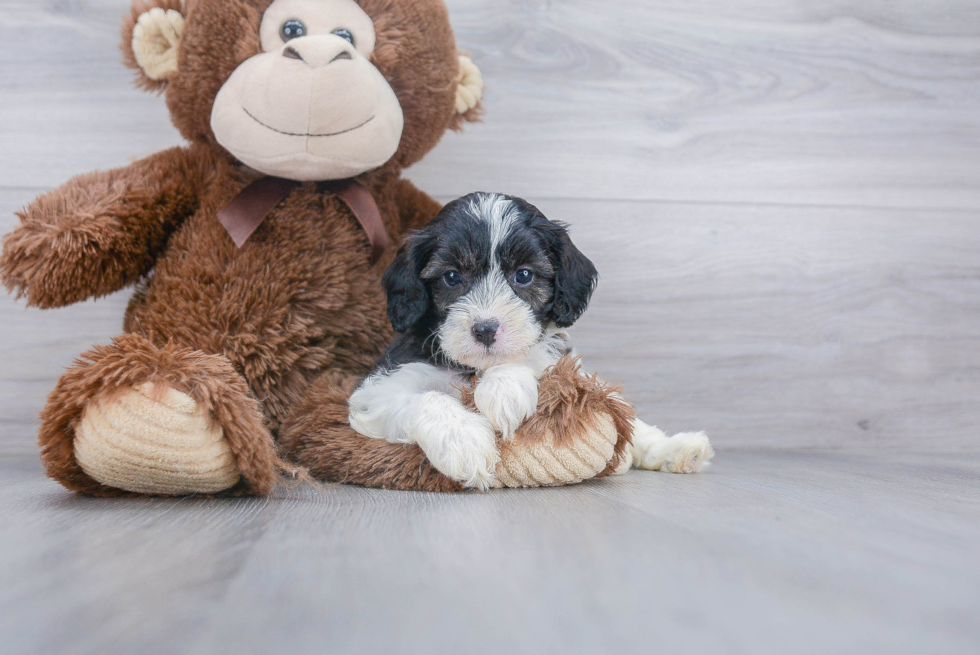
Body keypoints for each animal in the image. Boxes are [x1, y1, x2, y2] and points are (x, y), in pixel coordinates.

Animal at [352, 192, 596, 490]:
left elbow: (534, 353)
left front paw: (503, 390)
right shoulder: (377, 389)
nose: (485, 330)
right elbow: (424, 398)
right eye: (452, 277)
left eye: (524, 275)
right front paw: (462, 440)